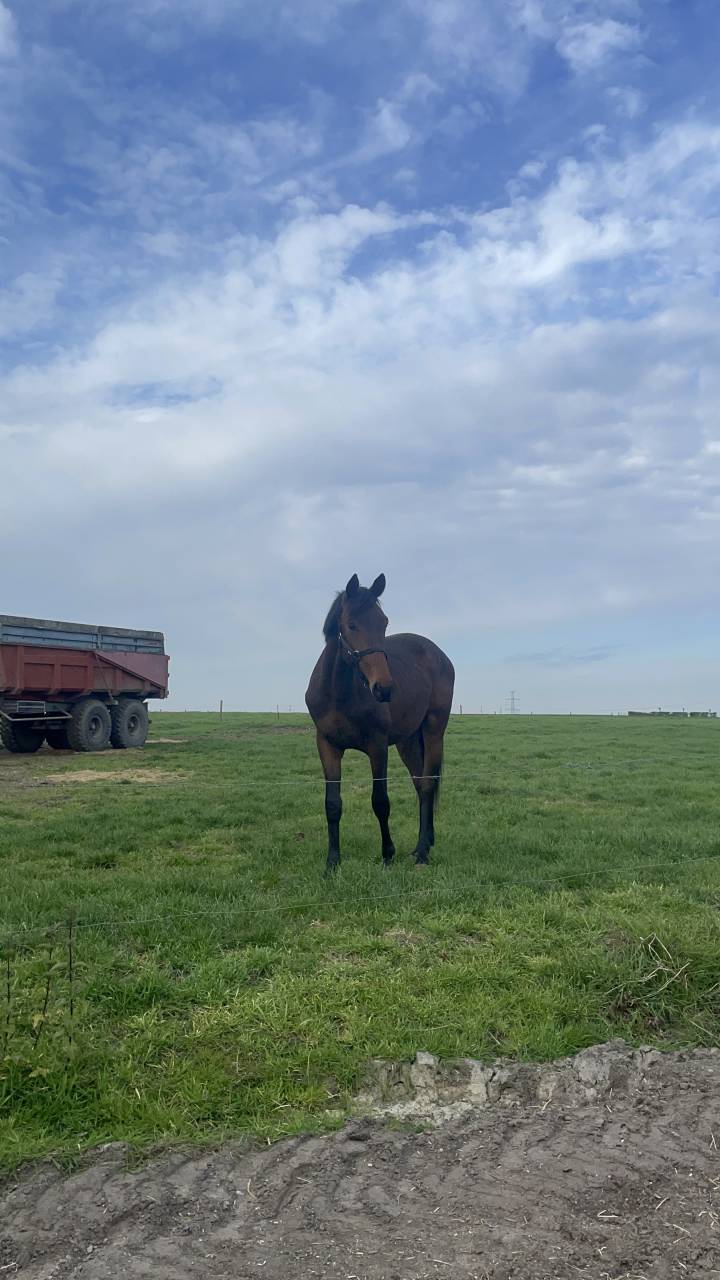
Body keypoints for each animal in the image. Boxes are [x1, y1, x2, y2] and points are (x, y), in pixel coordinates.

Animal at [305, 574, 455, 873]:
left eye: (384, 622)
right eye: (351, 624)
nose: (384, 688)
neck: (339, 693)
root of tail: (439, 655)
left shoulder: (377, 747)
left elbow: (380, 801)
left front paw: (387, 854)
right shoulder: (327, 745)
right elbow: (332, 804)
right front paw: (333, 862)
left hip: (433, 731)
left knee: (428, 785)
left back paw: (422, 852)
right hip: (408, 741)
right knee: (420, 784)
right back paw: (424, 842)